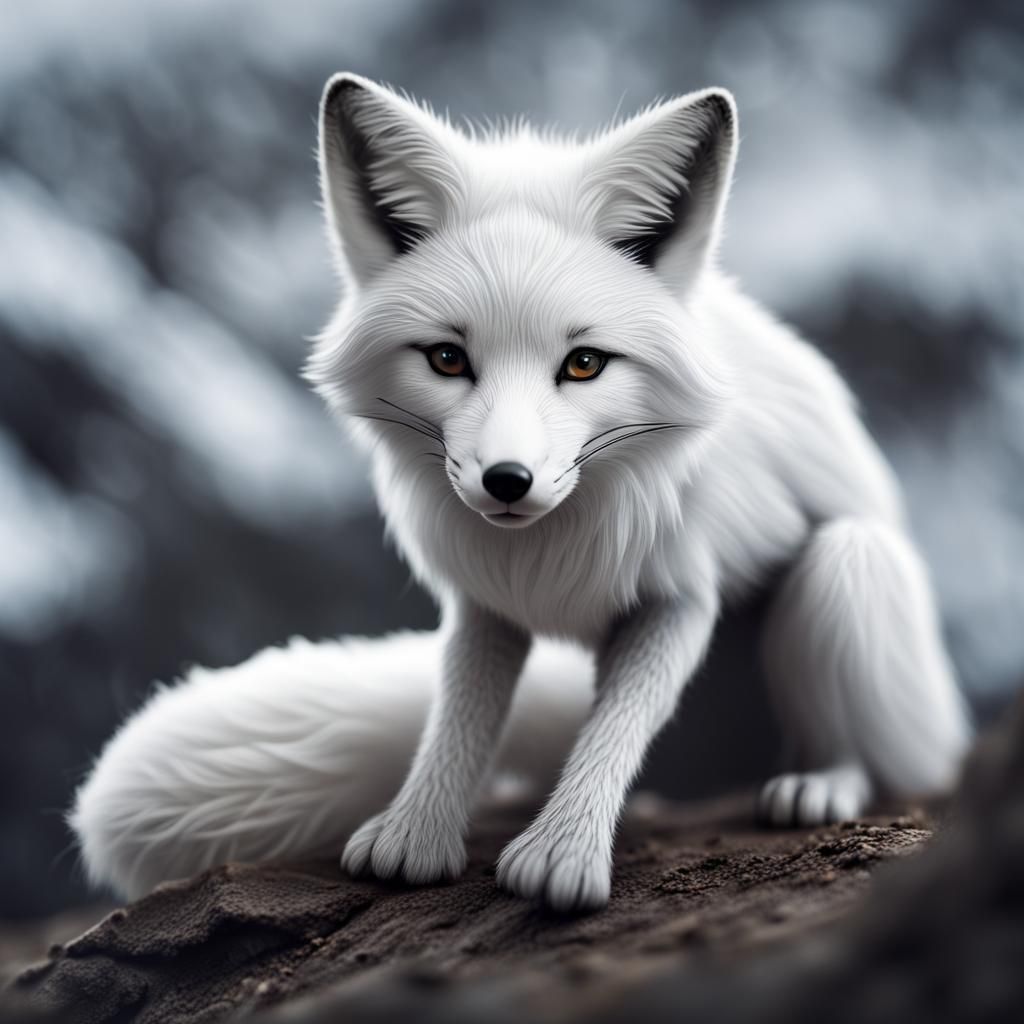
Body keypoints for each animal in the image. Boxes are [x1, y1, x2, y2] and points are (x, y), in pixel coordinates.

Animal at [70, 73, 971, 912]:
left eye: (584, 363)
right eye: (446, 358)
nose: (507, 481)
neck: (547, 555)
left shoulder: (680, 595)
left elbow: (616, 724)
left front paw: (561, 857)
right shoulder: (484, 603)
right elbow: (459, 719)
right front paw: (416, 837)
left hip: (850, 567)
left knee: (882, 754)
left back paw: (820, 784)